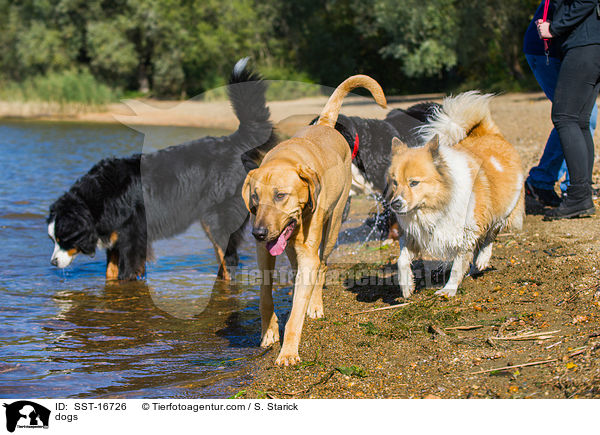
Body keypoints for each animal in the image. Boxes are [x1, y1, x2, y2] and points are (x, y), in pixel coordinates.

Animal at [48, 58, 278, 282]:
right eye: (52, 239)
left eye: (64, 239)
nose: (53, 263)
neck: (100, 198)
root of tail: (232, 142)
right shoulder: (116, 242)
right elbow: (111, 275)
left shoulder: (132, 240)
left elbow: (126, 274)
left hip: (218, 219)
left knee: (229, 259)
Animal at [386, 90, 524, 298]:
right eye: (395, 182)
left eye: (414, 183)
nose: (395, 204)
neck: (435, 206)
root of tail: (489, 133)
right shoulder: (415, 236)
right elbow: (401, 260)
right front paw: (406, 286)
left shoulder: (465, 234)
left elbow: (458, 266)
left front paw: (448, 290)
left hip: (502, 211)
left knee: (490, 235)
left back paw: (482, 259)